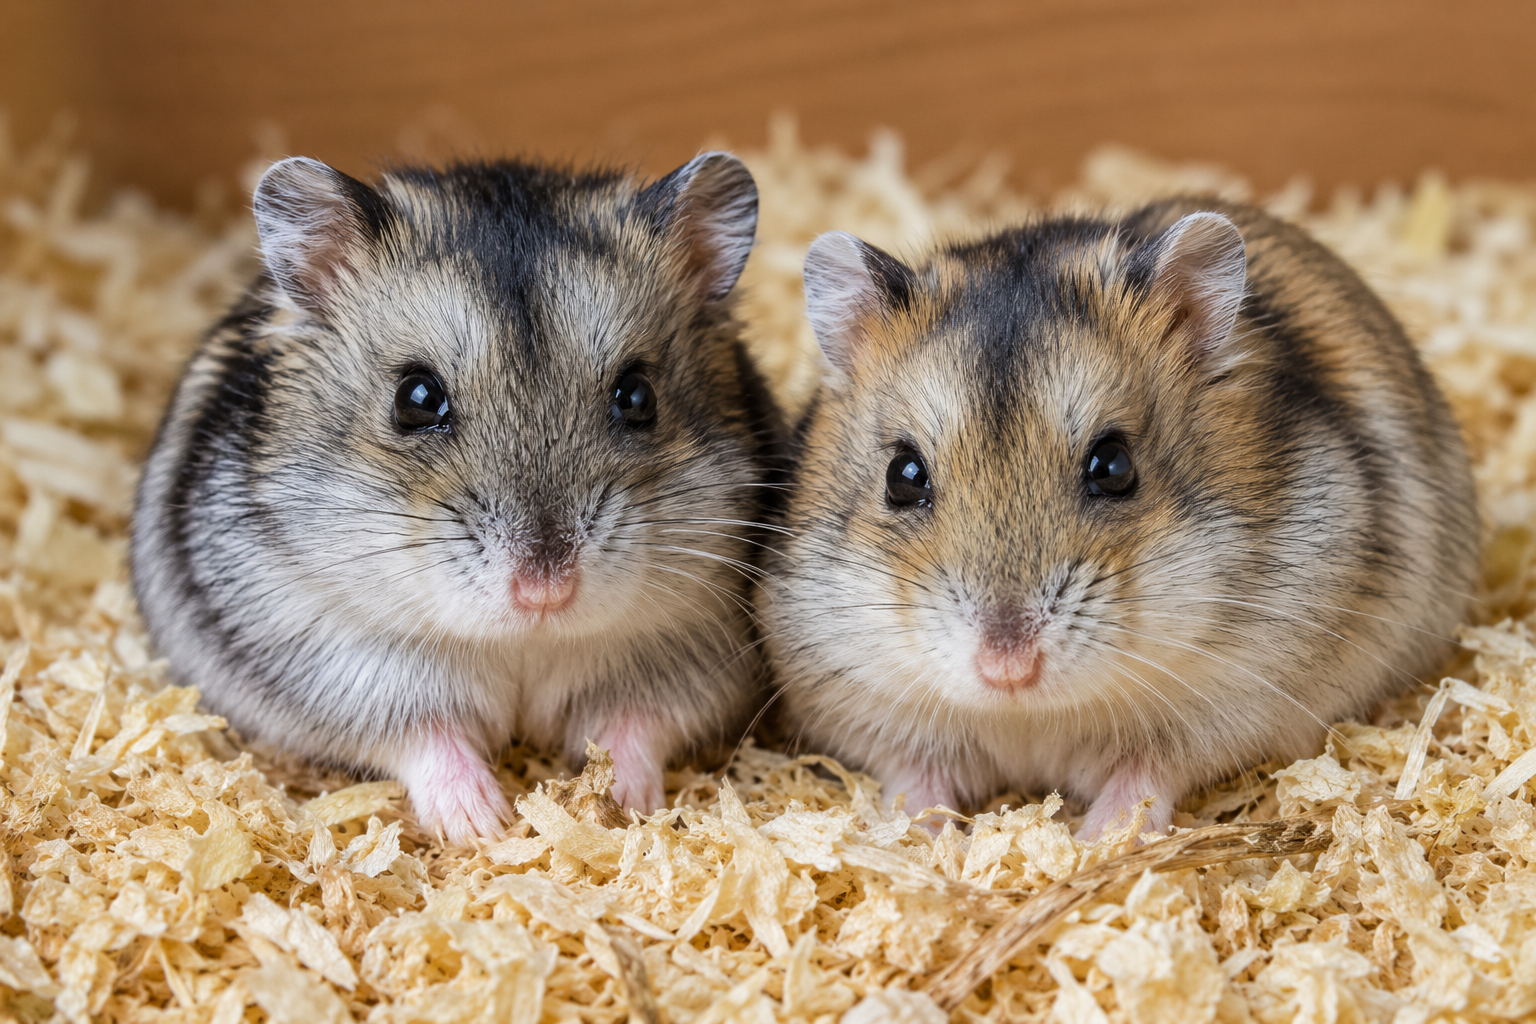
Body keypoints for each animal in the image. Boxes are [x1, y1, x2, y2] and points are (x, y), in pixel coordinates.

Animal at [131, 152, 782, 842]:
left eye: (637, 396)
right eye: (416, 398)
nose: (544, 591)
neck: (522, 643)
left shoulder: (689, 656)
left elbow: (636, 727)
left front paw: (620, 806)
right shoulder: (332, 658)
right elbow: (424, 734)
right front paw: (483, 826)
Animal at [761, 198, 1477, 838]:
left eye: (1113, 465)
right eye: (903, 476)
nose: (1007, 668)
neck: (1029, 718)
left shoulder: (1240, 696)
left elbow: (1147, 772)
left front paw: (1096, 841)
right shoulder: (858, 697)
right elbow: (913, 773)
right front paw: (921, 837)